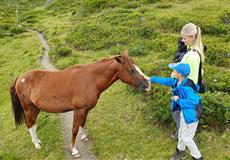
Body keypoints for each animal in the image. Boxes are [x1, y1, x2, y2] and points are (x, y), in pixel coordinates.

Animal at [9, 50, 150, 158]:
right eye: (131, 70)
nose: (148, 84)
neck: (90, 79)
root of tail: (20, 78)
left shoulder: (85, 110)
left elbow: (83, 123)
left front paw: (84, 137)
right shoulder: (79, 110)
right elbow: (74, 129)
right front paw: (74, 150)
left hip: (35, 108)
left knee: (33, 124)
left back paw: (38, 141)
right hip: (28, 108)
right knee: (29, 124)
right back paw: (36, 144)